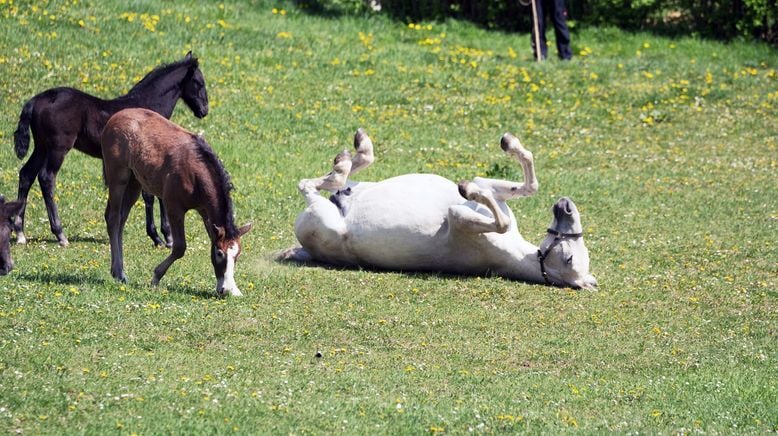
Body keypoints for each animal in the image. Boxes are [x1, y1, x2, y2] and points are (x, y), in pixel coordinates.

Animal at [12, 51, 206, 247]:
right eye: (198, 82)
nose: (204, 110)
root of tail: (34, 101)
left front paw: (158, 236)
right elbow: (152, 195)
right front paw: (164, 237)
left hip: (42, 147)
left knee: (26, 175)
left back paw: (20, 233)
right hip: (58, 148)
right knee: (46, 178)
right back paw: (60, 234)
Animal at [101, 108, 252, 296]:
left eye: (237, 255)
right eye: (219, 253)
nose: (224, 291)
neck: (195, 172)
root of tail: (116, 117)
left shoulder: (205, 211)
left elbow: (212, 236)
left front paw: (233, 288)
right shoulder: (173, 206)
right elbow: (180, 247)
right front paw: (156, 277)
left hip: (134, 182)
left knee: (121, 219)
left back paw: (119, 271)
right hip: (118, 176)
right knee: (113, 218)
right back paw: (119, 272)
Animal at [282, 129, 596, 290]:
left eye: (569, 259)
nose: (565, 206)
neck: (513, 249)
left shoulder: (458, 219)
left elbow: (495, 218)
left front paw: (465, 187)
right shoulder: (490, 190)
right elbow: (529, 185)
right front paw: (509, 143)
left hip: (322, 218)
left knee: (312, 185)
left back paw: (345, 161)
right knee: (342, 179)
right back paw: (356, 150)